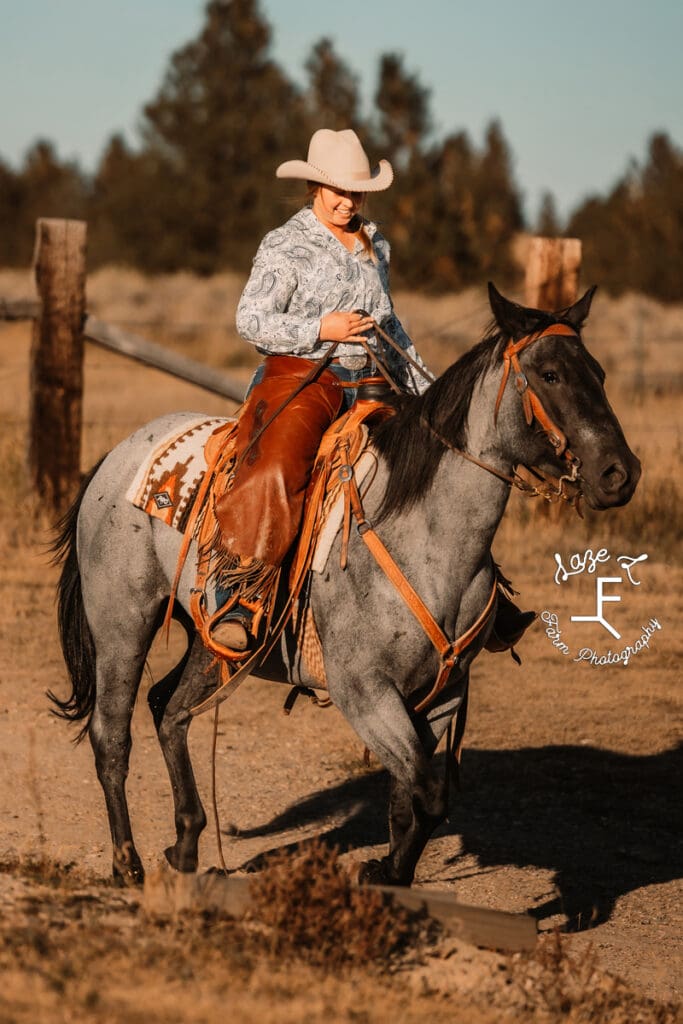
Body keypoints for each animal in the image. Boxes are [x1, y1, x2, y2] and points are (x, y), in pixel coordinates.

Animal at [52, 286, 643, 888]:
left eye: (597, 372)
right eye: (549, 373)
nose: (620, 474)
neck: (424, 539)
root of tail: (115, 456)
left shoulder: (444, 695)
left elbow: (410, 803)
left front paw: (390, 875)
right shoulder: (365, 692)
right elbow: (428, 797)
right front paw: (384, 871)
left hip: (210, 642)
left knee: (170, 710)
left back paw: (187, 846)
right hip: (122, 624)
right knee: (112, 735)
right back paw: (128, 864)